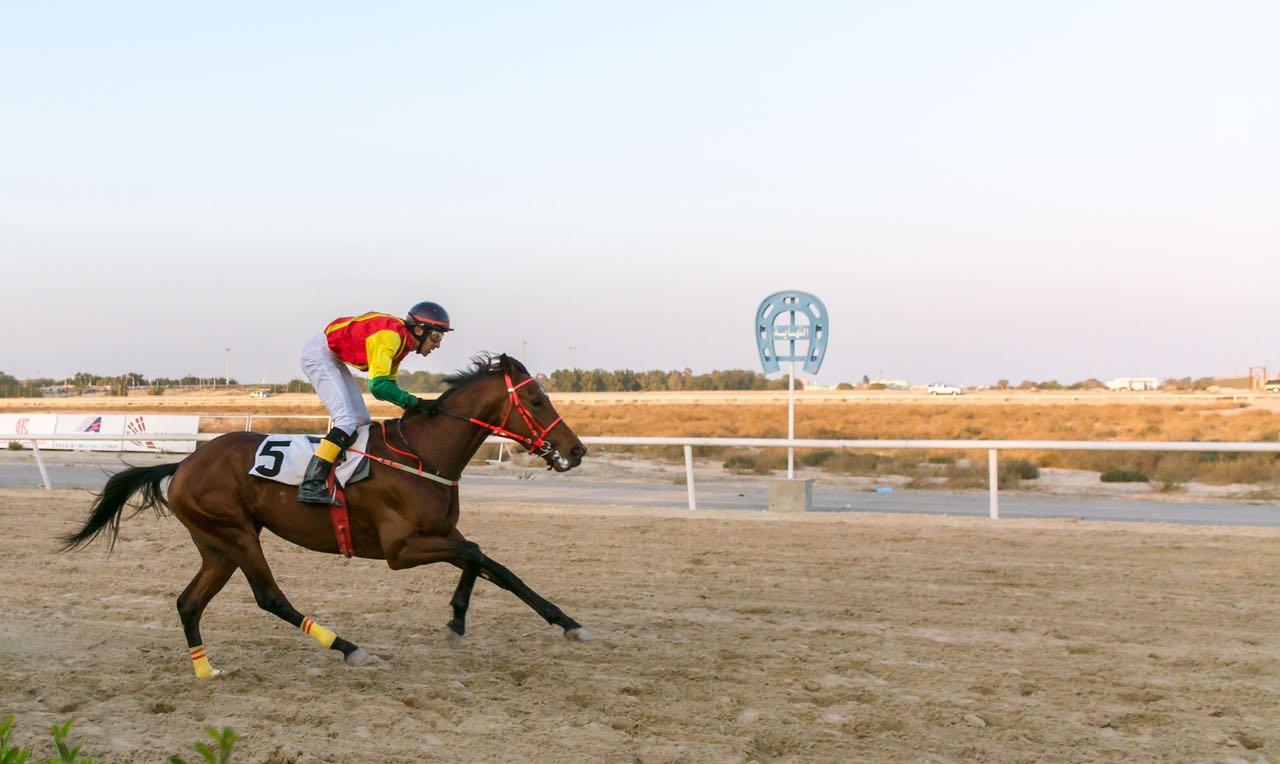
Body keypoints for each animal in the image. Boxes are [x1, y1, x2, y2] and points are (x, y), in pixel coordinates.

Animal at [61, 353, 591, 678]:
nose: (576, 450)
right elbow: (478, 555)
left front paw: (564, 622)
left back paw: (205, 670)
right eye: (538, 400)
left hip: (218, 546)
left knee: (189, 603)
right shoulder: (401, 549)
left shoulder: (442, 533)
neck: (425, 453)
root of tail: (185, 462)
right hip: (237, 536)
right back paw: (349, 647)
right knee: (270, 597)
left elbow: (494, 567)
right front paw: (458, 622)